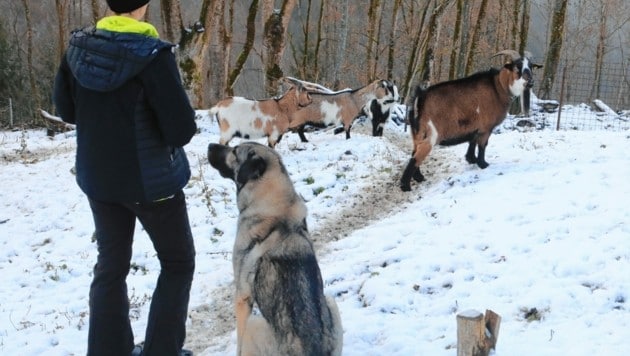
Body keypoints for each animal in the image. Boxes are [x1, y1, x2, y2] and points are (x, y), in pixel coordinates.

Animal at [402, 49, 540, 192]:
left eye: (530, 66)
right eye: (517, 66)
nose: (530, 82)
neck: (498, 87)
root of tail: (420, 98)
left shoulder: (476, 126)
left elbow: (472, 141)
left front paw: (471, 159)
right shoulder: (486, 127)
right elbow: (482, 145)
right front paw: (483, 164)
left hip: (417, 133)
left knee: (414, 152)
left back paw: (419, 177)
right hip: (431, 134)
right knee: (416, 157)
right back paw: (405, 186)